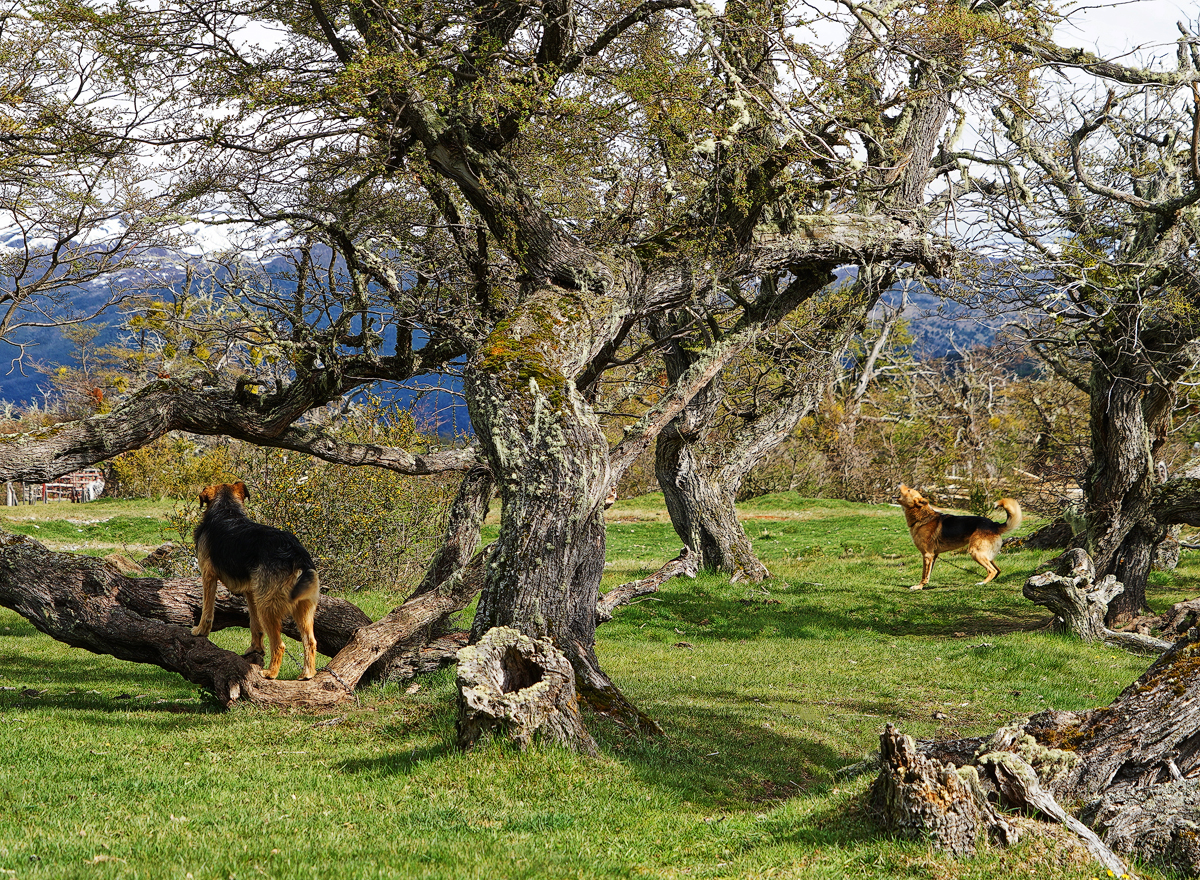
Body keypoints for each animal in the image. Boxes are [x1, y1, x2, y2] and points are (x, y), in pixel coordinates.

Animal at [189, 480, 319, 681]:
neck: (227, 509)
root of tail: (297, 555)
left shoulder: (208, 577)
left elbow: (207, 611)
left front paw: (200, 631)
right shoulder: (251, 591)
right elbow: (254, 624)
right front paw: (255, 649)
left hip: (267, 606)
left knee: (279, 645)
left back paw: (271, 673)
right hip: (301, 608)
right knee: (310, 641)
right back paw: (307, 673)